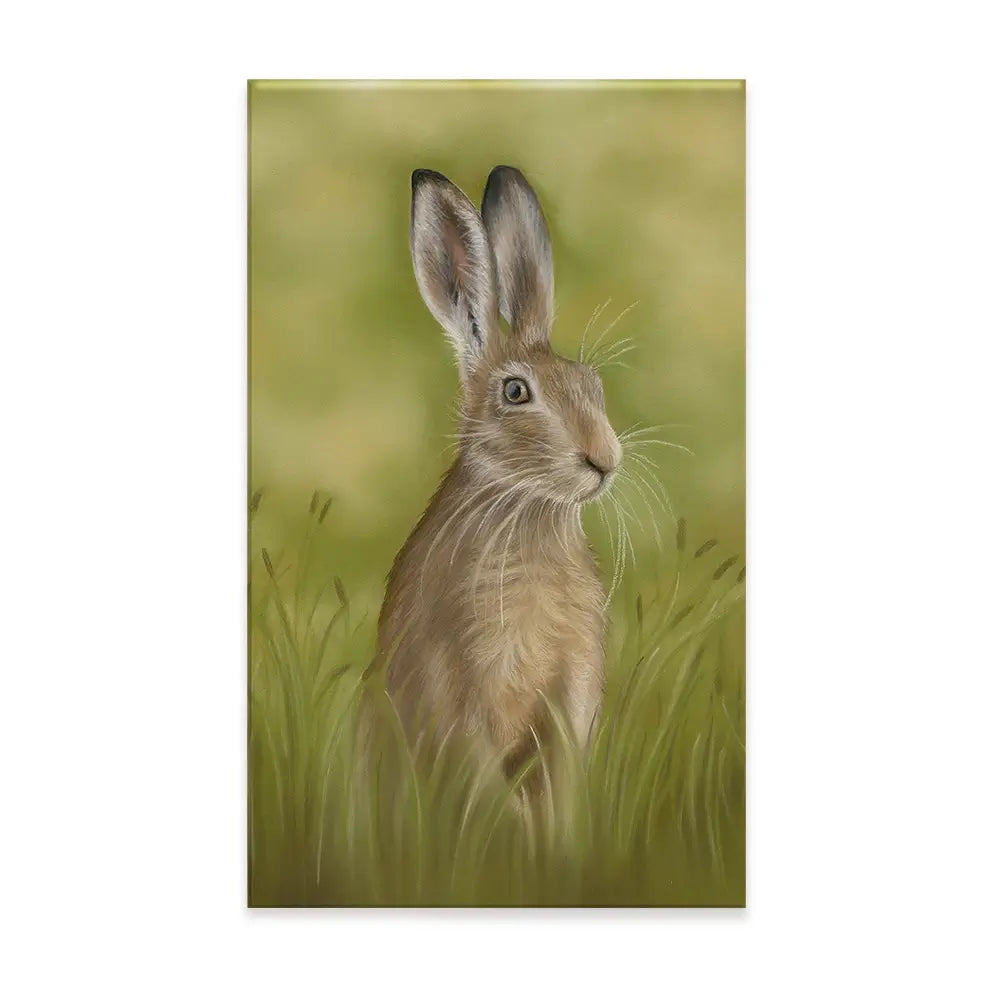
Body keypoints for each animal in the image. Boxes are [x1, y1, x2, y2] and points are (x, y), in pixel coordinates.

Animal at [375, 165, 622, 793]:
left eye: (592, 384)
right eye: (514, 392)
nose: (604, 459)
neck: (529, 510)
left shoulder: (571, 696)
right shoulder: (462, 690)